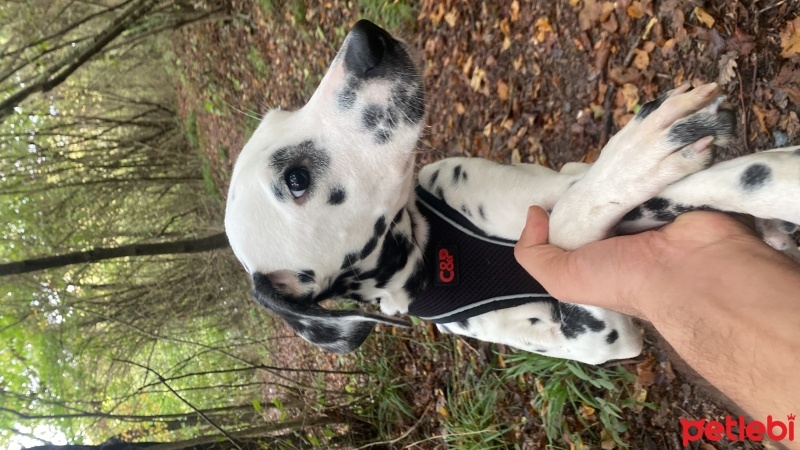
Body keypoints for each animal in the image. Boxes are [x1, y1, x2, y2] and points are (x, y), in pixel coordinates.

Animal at [223, 21, 800, 366]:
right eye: (297, 180)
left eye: (283, 111)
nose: (365, 38)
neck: (439, 254)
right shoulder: (601, 335)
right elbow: (570, 223)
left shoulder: (560, 181)